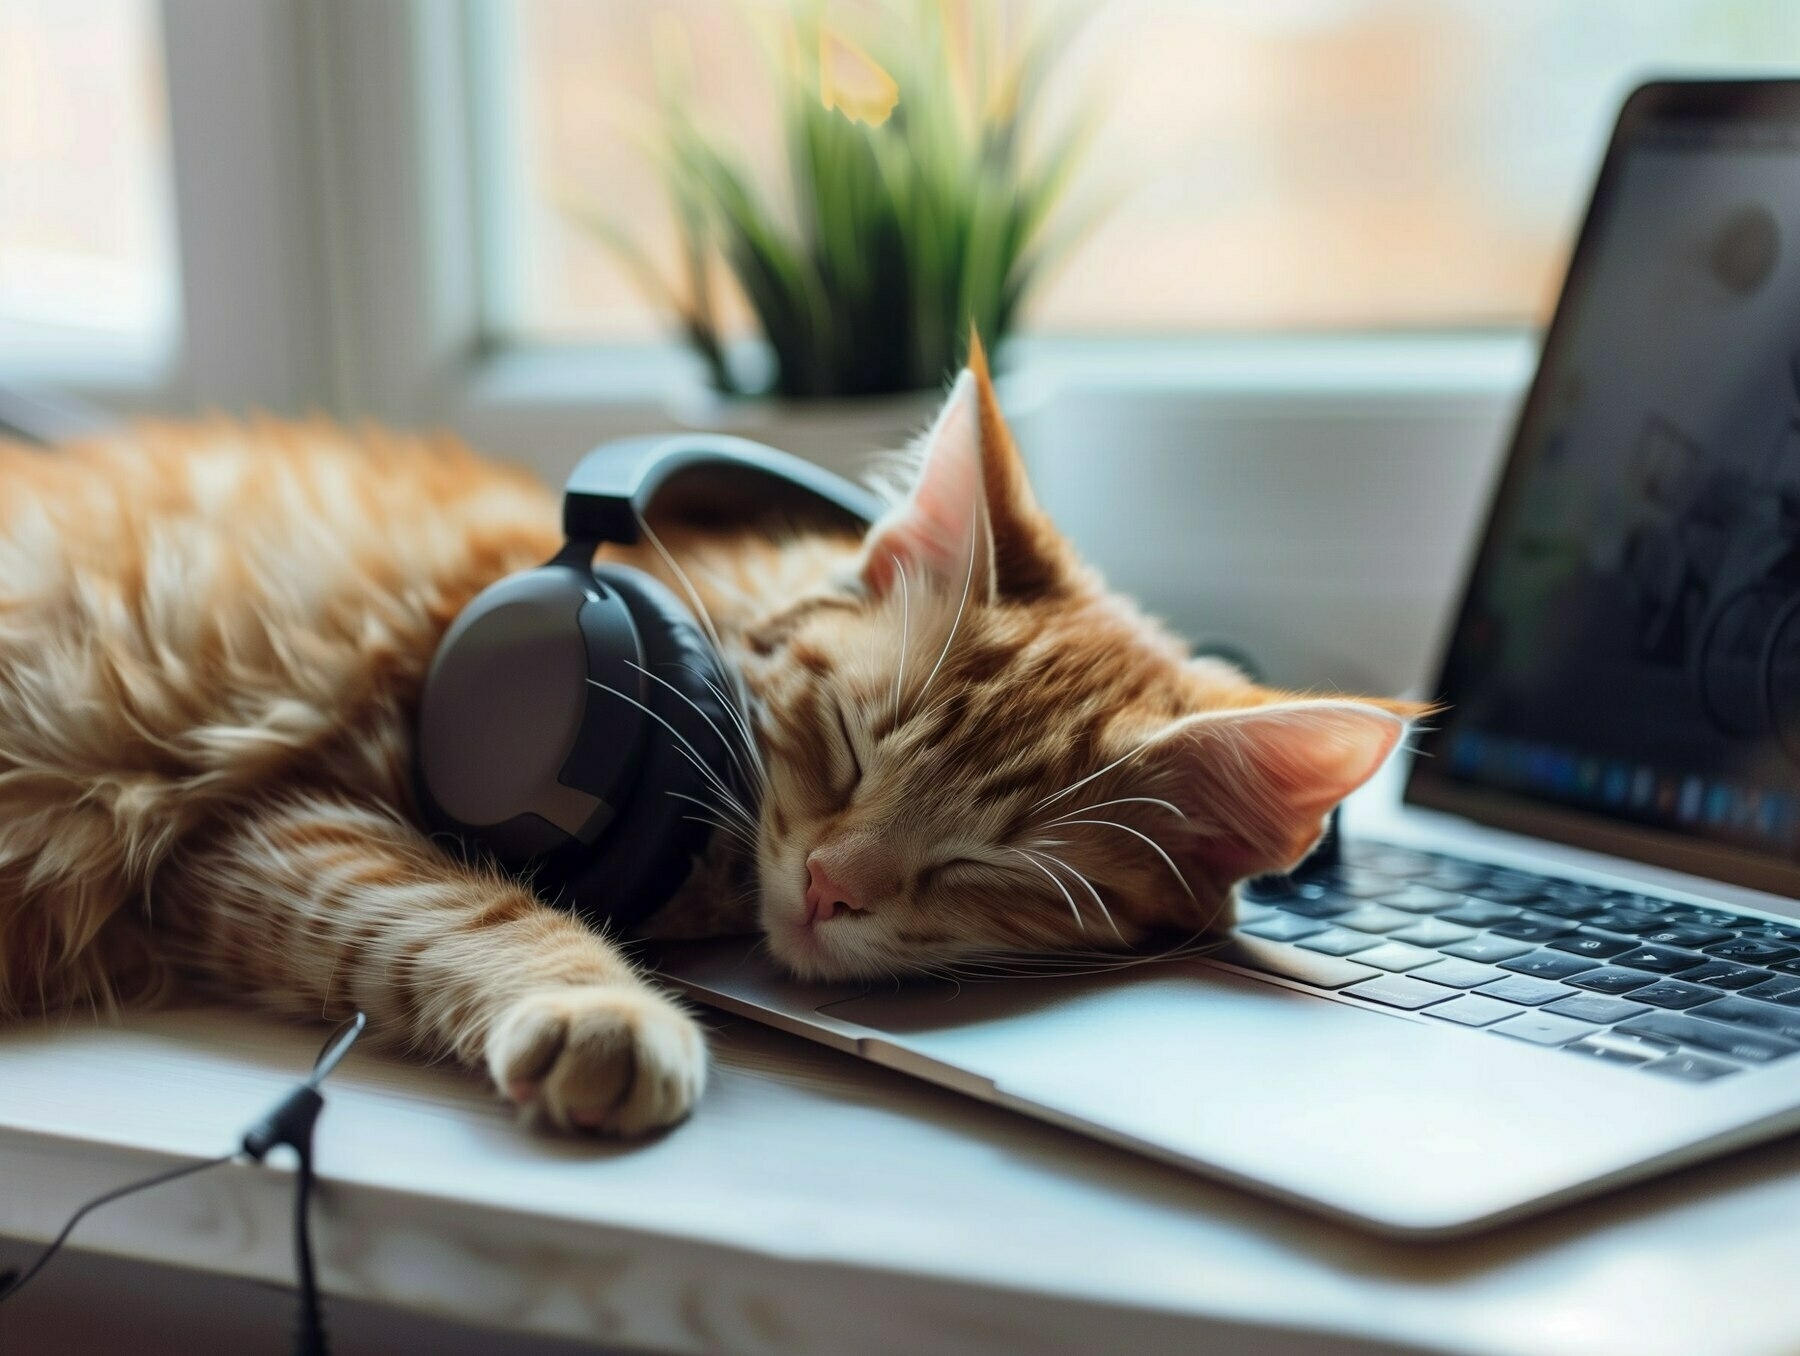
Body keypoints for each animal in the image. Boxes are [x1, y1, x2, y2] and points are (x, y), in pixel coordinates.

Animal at [0, 345, 1411, 1130]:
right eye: (846, 745)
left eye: (987, 871)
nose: (832, 887)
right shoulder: (277, 829)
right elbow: (468, 909)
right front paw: (603, 1009)